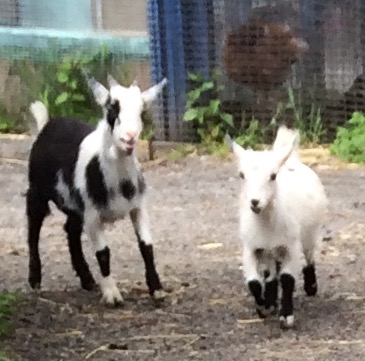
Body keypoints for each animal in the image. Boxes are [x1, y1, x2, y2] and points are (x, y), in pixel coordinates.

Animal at [26, 75, 166, 304]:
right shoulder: (92, 215)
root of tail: (47, 124)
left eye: (141, 111)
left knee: (71, 230)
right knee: (33, 229)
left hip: (74, 205)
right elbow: (103, 252)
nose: (129, 137)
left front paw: (157, 289)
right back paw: (35, 278)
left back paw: (87, 279)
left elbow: (147, 247)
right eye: (112, 110)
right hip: (37, 190)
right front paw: (112, 295)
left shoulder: (138, 207)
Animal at [226, 125, 328, 328]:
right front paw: (263, 307)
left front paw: (286, 316)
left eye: (273, 176)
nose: (255, 202)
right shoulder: (251, 247)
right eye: (242, 175)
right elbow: (254, 282)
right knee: (271, 273)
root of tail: (292, 159)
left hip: (309, 233)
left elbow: (287, 279)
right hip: (270, 250)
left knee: (309, 256)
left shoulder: (291, 246)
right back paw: (271, 300)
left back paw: (311, 286)